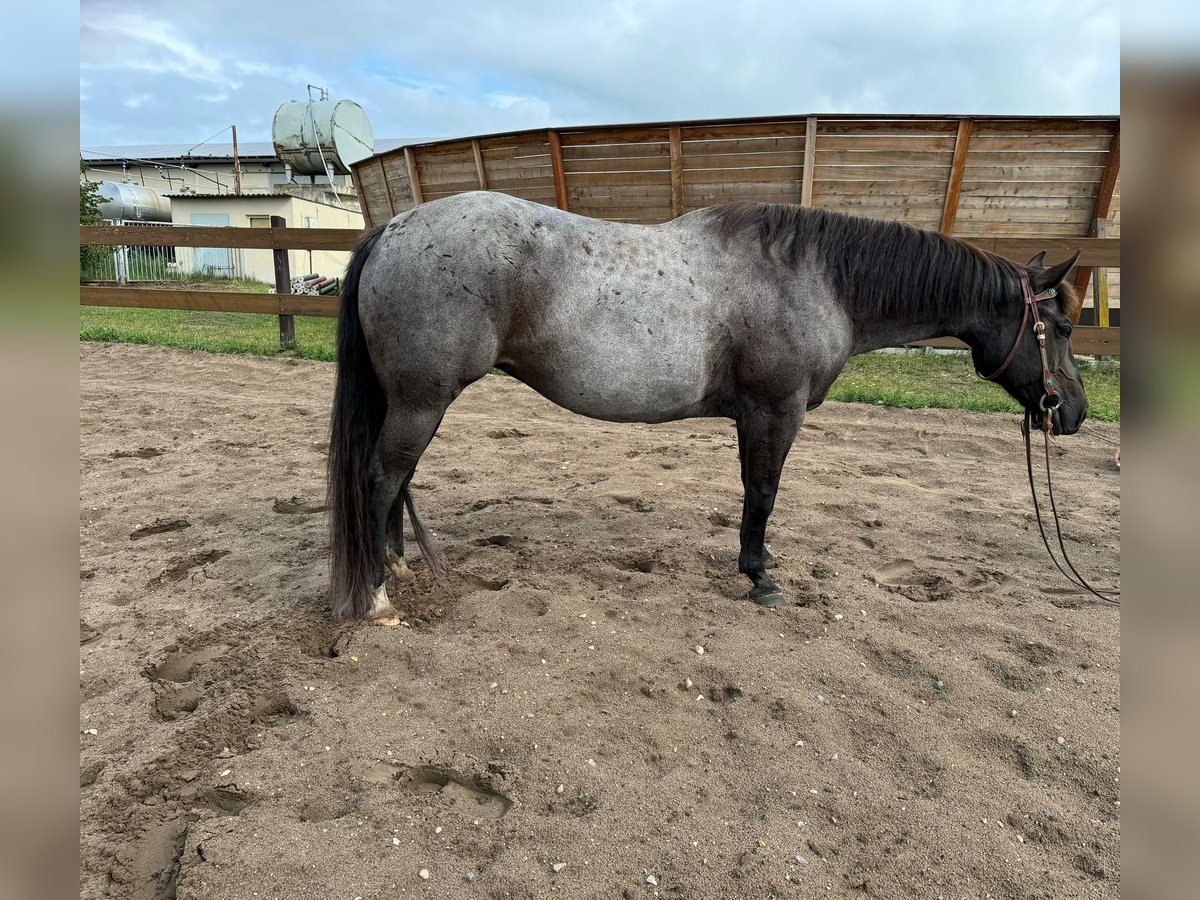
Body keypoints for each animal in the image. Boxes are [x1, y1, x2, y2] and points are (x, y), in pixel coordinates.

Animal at [328, 190, 1089, 619]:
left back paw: (397, 566)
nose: (1074, 412)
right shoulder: (772, 411)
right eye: (1063, 327)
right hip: (423, 400)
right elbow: (761, 494)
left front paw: (762, 565)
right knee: (380, 477)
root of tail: (392, 230)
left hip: (416, 402)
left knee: (397, 479)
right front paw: (760, 578)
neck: (813, 279)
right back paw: (376, 595)